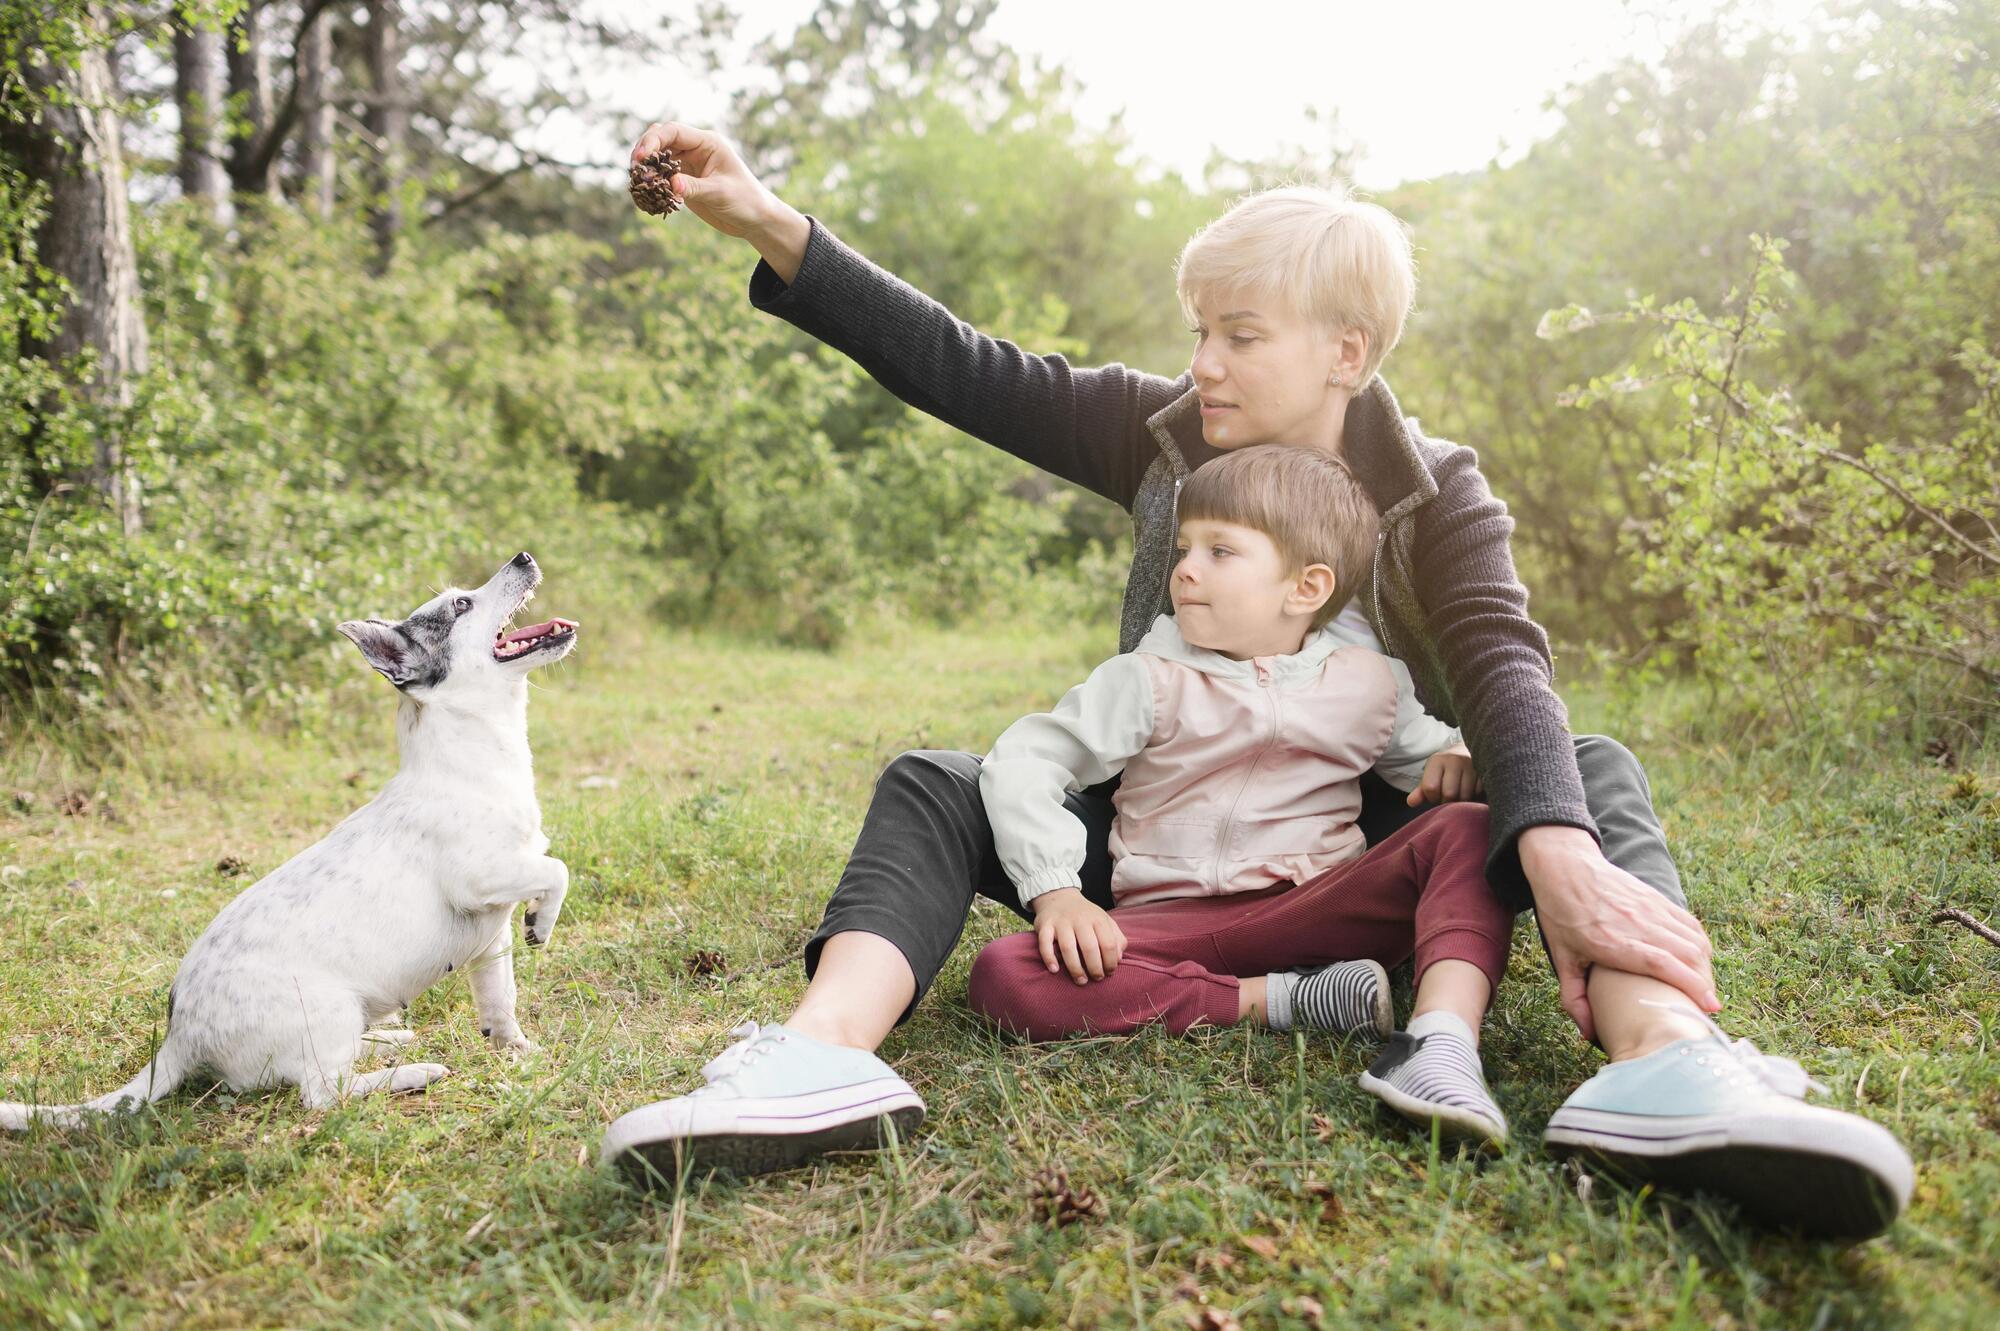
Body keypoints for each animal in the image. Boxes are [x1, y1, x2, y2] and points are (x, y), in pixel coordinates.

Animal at [1, 547, 580, 1119]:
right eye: (462, 604)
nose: (523, 556)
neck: (472, 757)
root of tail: (179, 1040)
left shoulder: (491, 938)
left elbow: (500, 1002)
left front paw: (517, 1049)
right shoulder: (480, 880)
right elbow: (557, 870)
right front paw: (544, 923)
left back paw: (388, 1040)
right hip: (331, 1012)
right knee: (324, 1093)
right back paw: (411, 1074)